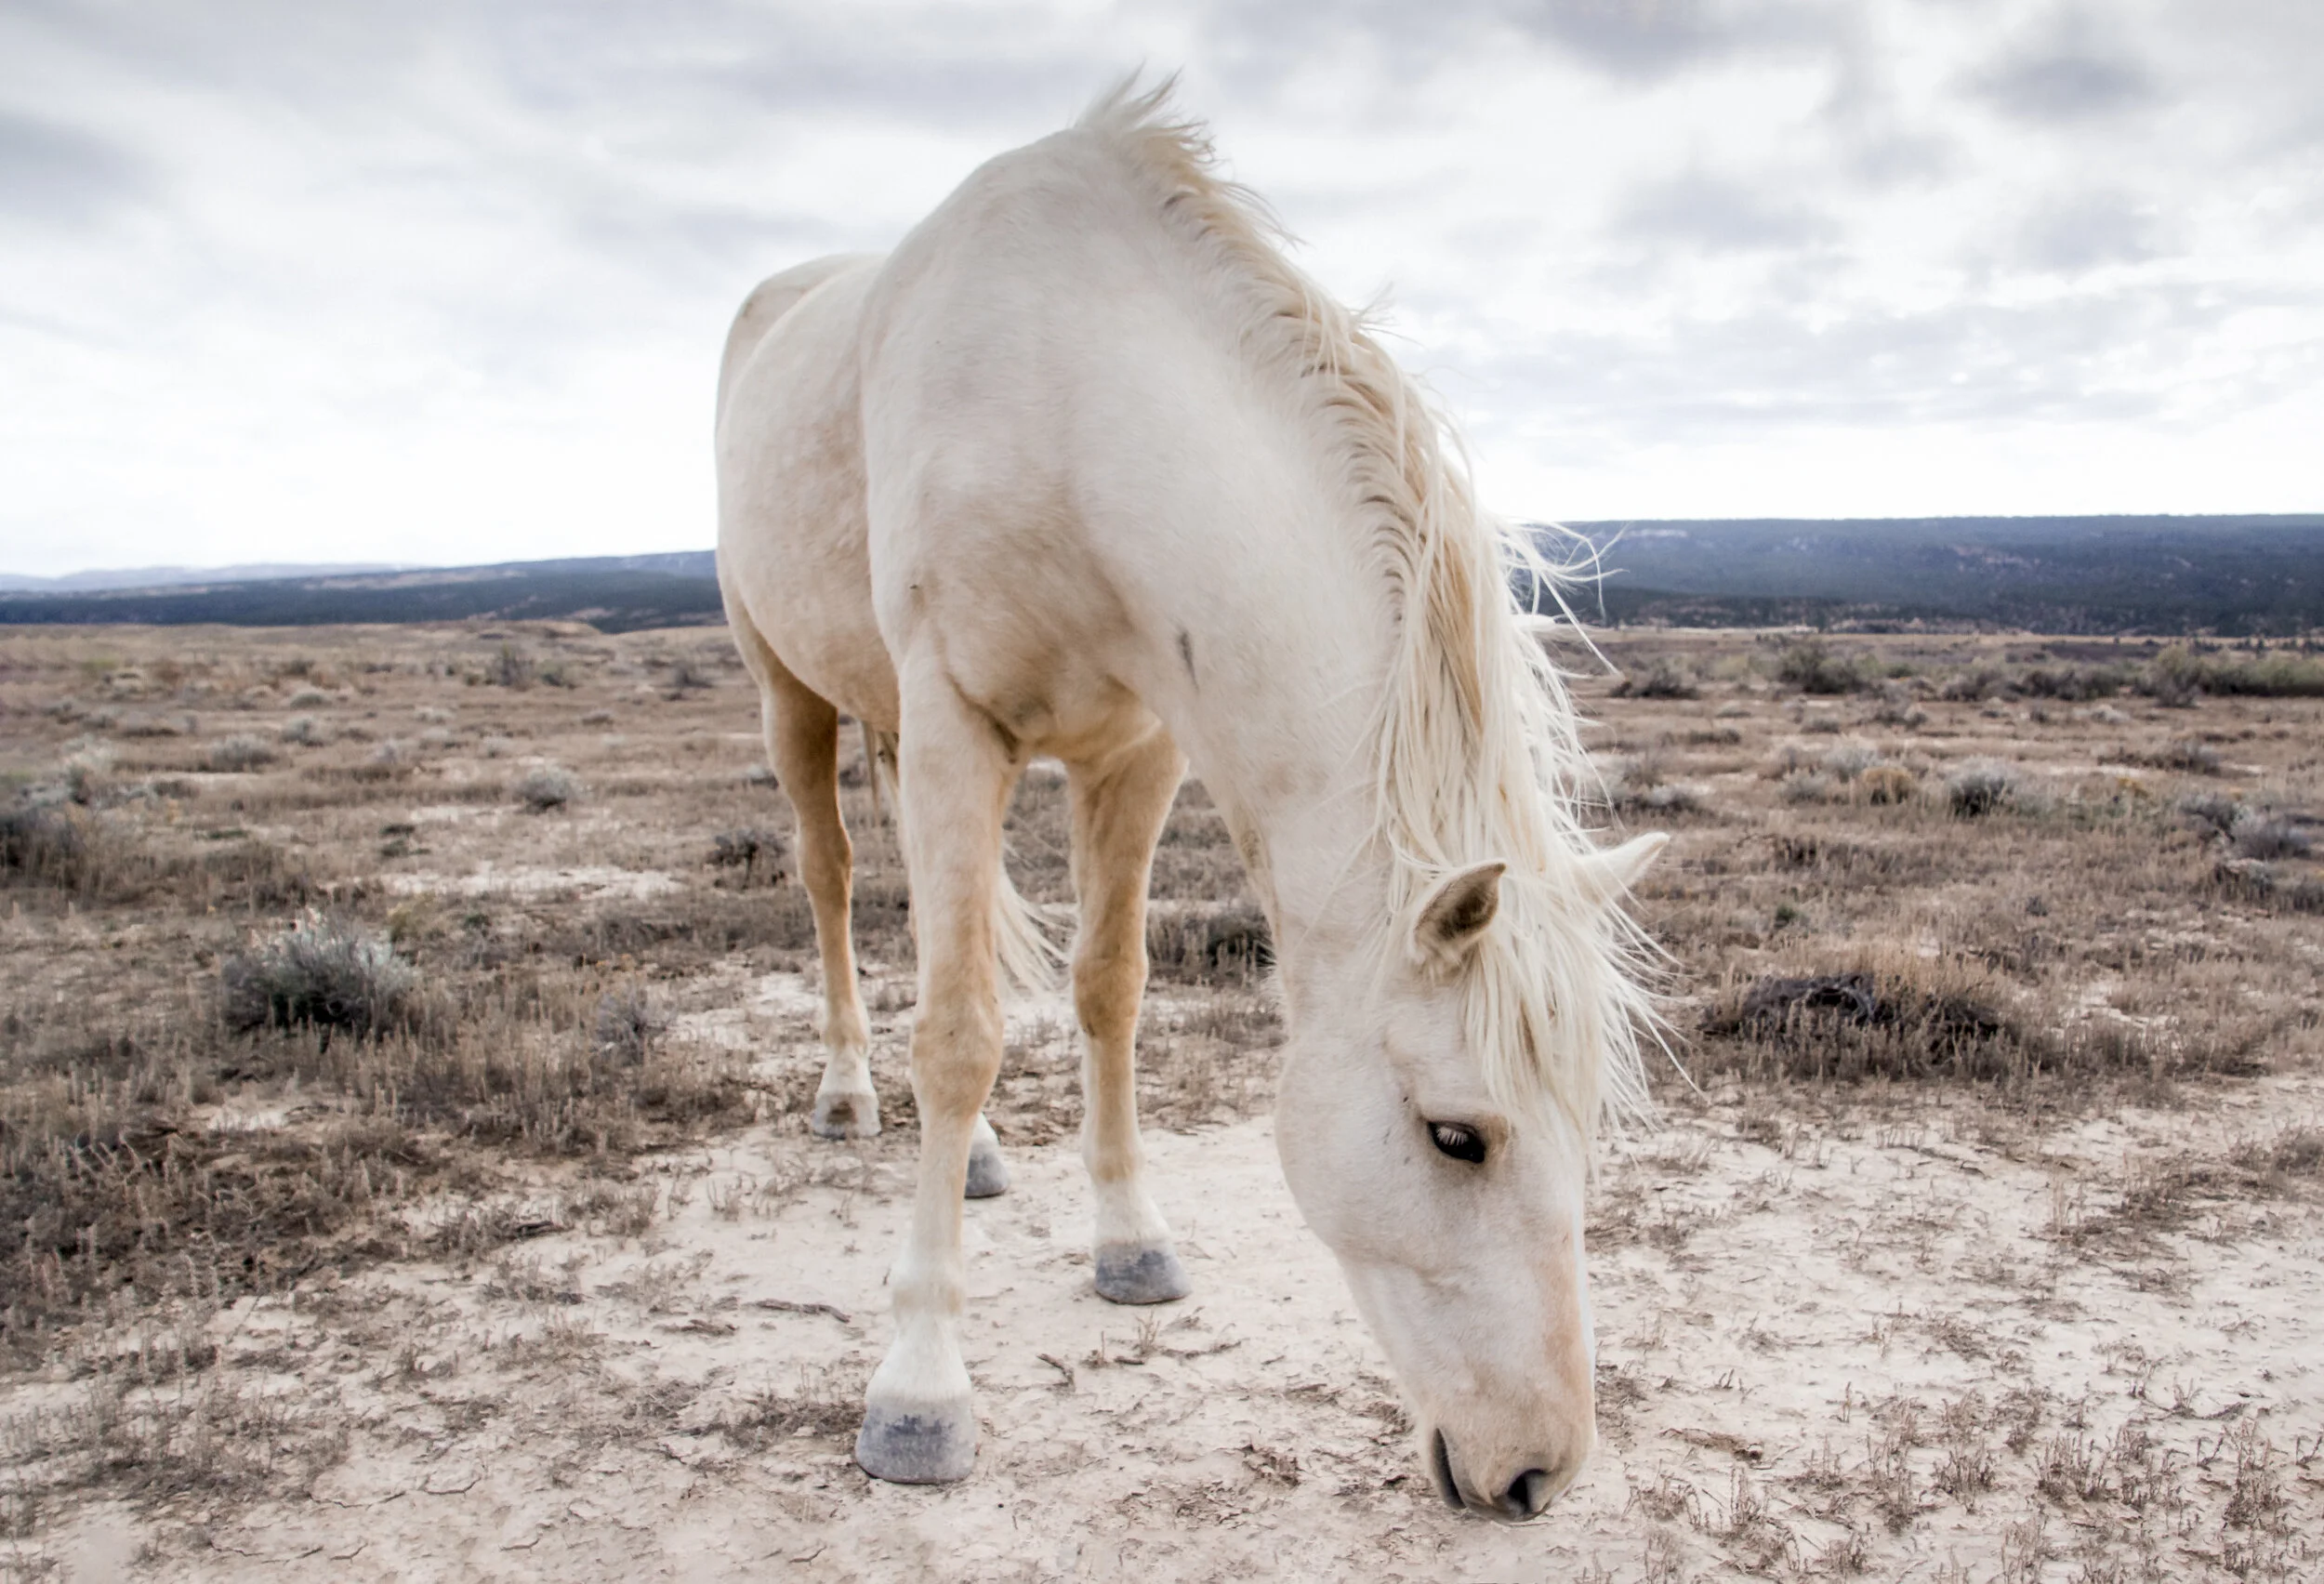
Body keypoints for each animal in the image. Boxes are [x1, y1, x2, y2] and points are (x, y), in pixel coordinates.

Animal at [714, 79, 1665, 1521]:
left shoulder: (1137, 754)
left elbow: (1109, 991)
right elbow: (958, 1034)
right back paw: (847, 1093)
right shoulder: (955, 725)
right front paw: (919, 1392)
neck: (1074, 412)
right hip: (794, 695)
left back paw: (976, 1158)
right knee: (831, 883)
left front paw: (1131, 1244)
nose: (1539, 1475)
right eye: (1457, 1138)